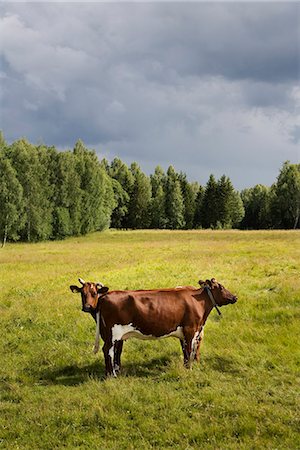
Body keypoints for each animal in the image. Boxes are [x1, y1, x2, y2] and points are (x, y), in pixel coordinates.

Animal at [69, 278, 237, 376]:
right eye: (221, 287)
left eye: (93, 292)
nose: (234, 297)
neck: (198, 301)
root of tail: (106, 296)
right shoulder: (190, 330)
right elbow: (189, 350)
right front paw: (189, 368)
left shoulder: (185, 332)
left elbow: (185, 351)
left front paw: (186, 366)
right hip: (112, 334)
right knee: (107, 351)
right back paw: (112, 375)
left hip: (113, 335)